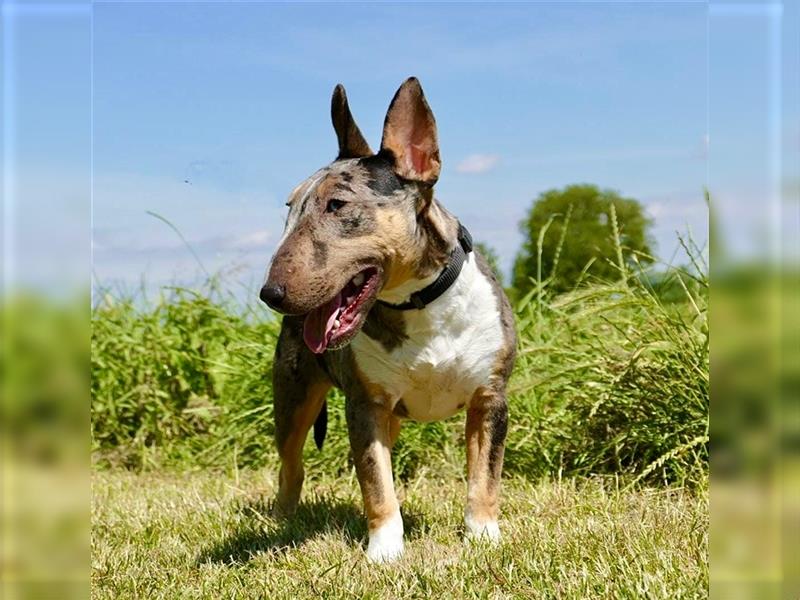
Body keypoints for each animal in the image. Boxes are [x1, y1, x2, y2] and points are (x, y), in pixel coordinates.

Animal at [260, 78, 516, 564]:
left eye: (337, 205)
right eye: (288, 206)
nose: (270, 295)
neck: (418, 303)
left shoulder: (489, 399)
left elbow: (485, 475)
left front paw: (483, 536)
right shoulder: (366, 406)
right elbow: (376, 483)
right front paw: (384, 551)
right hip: (293, 398)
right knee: (291, 464)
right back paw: (283, 520)